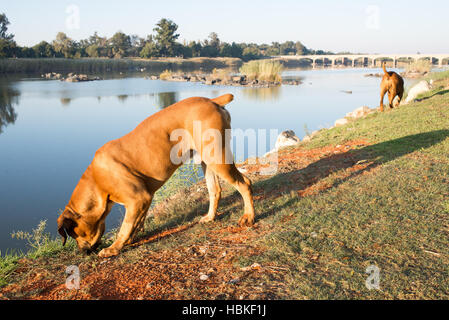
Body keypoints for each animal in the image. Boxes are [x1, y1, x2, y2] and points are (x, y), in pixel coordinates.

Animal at [56, 94, 254, 258]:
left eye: (75, 233)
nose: (82, 252)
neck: (97, 181)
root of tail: (212, 100)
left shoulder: (137, 198)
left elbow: (125, 226)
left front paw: (114, 248)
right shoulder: (143, 200)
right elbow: (136, 223)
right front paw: (128, 240)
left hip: (217, 158)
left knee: (244, 183)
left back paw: (248, 217)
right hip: (207, 160)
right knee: (215, 190)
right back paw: (210, 217)